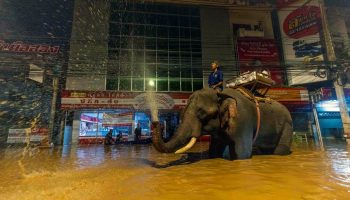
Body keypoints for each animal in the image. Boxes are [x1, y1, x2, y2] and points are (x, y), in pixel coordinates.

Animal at [151, 87, 292, 159]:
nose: (155, 121)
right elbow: (215, 150)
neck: (221, 93)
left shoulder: (243, 119)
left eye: (202, 112)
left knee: (280, 150)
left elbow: (242, 153)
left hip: (287, 124)